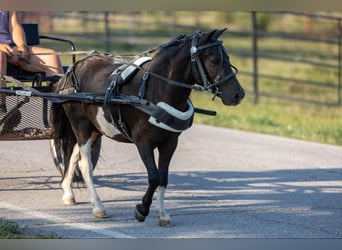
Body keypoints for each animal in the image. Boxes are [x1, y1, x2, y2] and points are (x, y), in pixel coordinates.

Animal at [49, 29, 244, 227]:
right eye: (214, 60)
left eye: (227, 57)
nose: (238, 94)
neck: (156, 91)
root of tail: (74, 68)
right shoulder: (143, 142)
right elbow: (154, 177)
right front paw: (142, 209)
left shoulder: (170, 143)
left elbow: (163, 178)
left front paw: (162, 214)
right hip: (80, 125)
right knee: (85, 164)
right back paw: (98, 206)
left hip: (96, 129)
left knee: (74, 156)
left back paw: (68, 192)